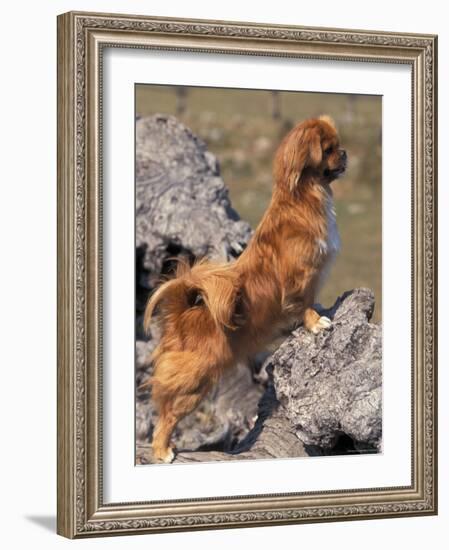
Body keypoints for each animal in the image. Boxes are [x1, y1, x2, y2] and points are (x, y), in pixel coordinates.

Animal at [142, 116, 344, 466]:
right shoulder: (302, 277)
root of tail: (181, 317)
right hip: (195, 383)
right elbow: (304, 302)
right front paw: (315, 323)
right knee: (166, 415)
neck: (304, 199)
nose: (344, 153)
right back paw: (162, 451)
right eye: (330, 149)